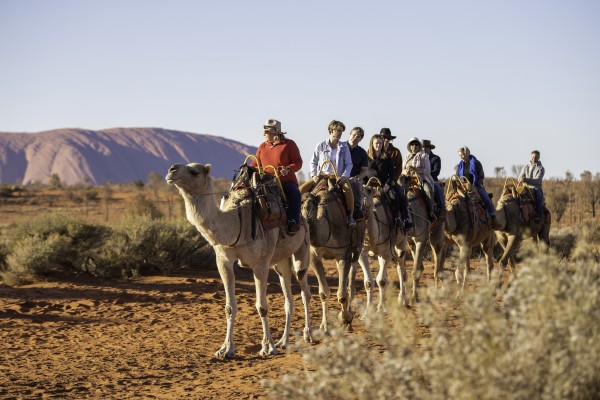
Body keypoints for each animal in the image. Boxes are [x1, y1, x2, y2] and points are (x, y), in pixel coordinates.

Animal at [164, 162, 314, 360]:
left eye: (194, 171)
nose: (171, 170)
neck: (237, 222)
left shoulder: (260, 263)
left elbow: (262, 306)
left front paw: (267, 347)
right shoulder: (223, 260)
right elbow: (229, 307)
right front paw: (225, 349)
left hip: (302, 248)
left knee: (305, 291)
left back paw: (308, 335)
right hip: (280, 262)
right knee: (288, 298)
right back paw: (284, 341)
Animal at [300, 170, 366, 330]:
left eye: (313, 205)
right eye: (300, 205)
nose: (306, 217)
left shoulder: (344, 254)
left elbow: (342, 294)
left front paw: (346, 318)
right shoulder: (314, 257)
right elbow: (324, 293)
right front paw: (324, 326)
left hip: (357, 248)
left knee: (351, 282)